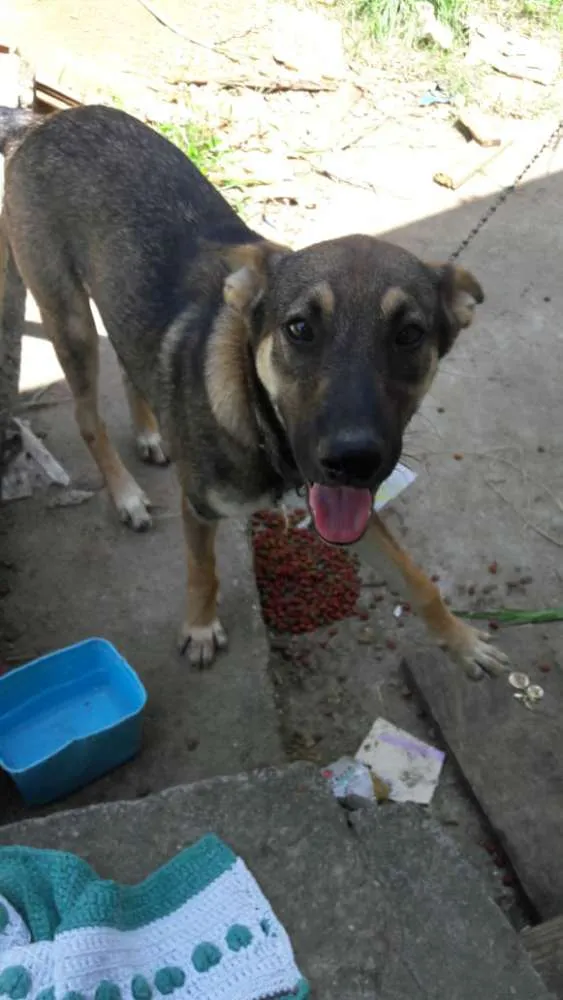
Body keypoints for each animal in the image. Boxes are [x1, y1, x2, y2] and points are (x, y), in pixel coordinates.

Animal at [0, 103, 508, 680]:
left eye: (409, 334)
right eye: (300, 328)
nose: (353, 459)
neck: (261, 423)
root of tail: (38, 125)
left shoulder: (346, 502)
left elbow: (417, 579)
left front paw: (463, 640)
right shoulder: (200, 506)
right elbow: (204, 570)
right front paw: (200, 628)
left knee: (136, 368)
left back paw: (151, 434)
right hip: (68, 318)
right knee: (88, 418)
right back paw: (126, 494)